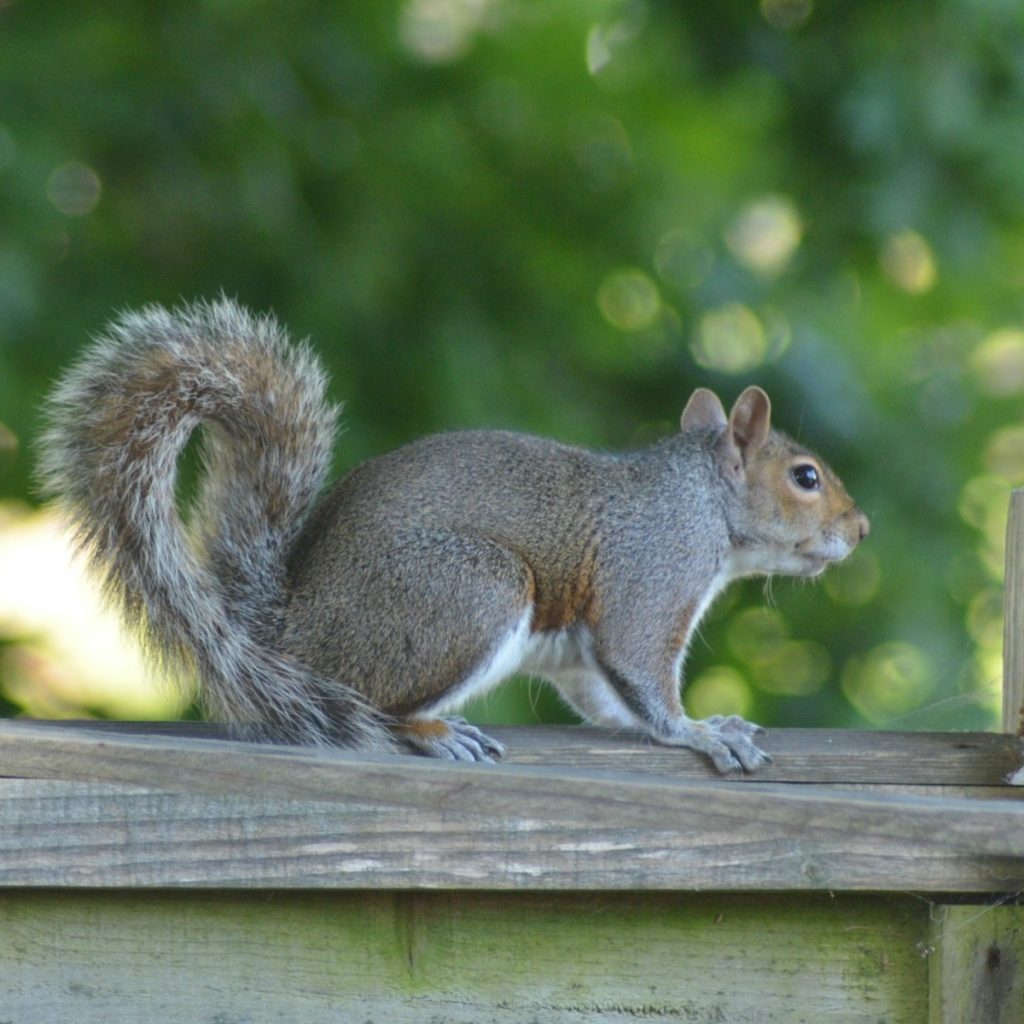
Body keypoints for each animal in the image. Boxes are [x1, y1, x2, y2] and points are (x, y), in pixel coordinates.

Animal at [38, 298, 869, 774]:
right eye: (805, 477)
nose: (860, 529)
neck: (702, 501)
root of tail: (286, 629)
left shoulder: (585, 652)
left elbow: (604, 697)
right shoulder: (654, 572)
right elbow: (642, 671)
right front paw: (700, 733)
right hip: (472, 590)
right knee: (376, 711)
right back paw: (436, 733)